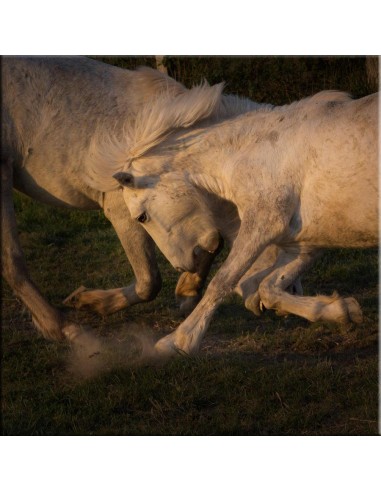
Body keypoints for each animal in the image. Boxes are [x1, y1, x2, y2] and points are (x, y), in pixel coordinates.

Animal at [0, 56, 276, 342]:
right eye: (142, 217)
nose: (266, 306)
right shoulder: (122, 211)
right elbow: (150, 282)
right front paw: (90, 302)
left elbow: (212, 243)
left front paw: (187, 291)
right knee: (12, 262)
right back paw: (64, 327)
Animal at [90, 83, 378, 354]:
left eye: (141, 217)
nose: (182, 267)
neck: (253, 153)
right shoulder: (304, 244)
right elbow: (268, 289)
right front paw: (343, 310)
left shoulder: (261, 225)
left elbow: (222, 281)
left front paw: (179, 341)